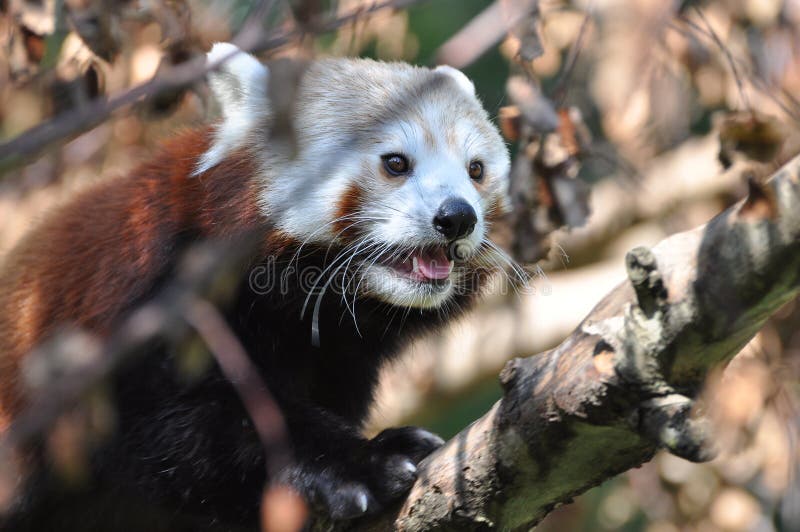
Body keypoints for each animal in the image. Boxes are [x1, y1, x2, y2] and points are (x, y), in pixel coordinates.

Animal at [0, 43, 512, 528]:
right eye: (395, 163)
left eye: (476, 170)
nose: (458, 217)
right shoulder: (141, 308)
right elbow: (181, 423)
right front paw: (360, 463)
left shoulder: (341, 362)